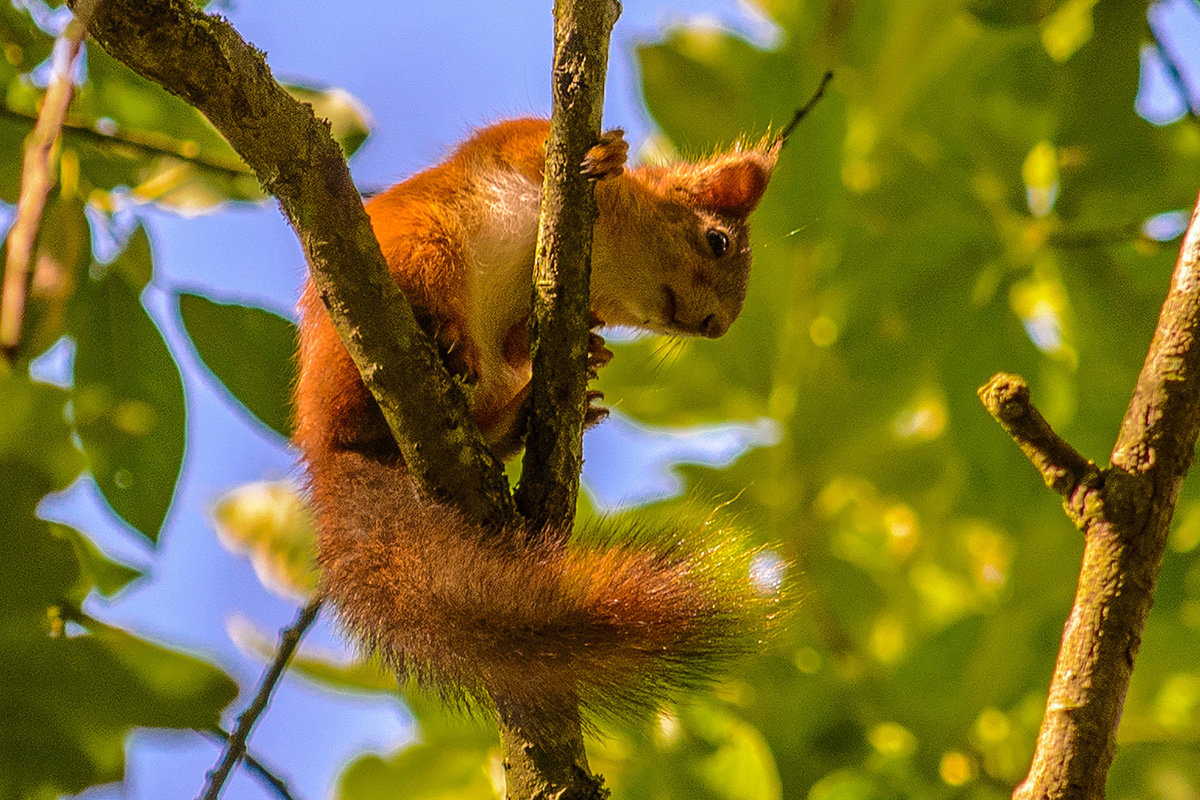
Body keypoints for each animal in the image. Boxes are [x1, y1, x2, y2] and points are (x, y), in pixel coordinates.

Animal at [300, 118, 777, 724]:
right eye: (717, 241)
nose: (716, 326)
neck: (608, 262)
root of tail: (328, 445)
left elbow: (520, 340)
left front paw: (593, 345)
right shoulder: (512, 141)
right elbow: (535, 143)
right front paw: (609, 154)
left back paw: (515, 418)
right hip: (422, 249)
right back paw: (450, 339)